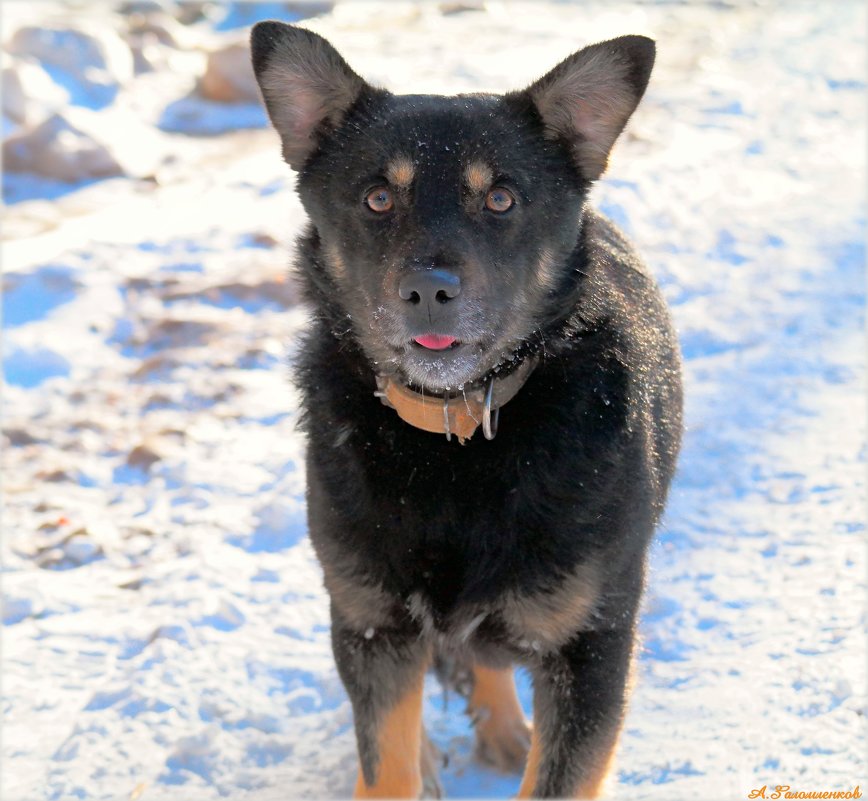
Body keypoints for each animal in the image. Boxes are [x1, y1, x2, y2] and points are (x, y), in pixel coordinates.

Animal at [248, 21, 680, 796]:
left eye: (501, 199)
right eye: (378, 198)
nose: (428, 290)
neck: (456, 436)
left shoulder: (591, 647)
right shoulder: (370, 624)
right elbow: (384, 761)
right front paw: (405, 763)